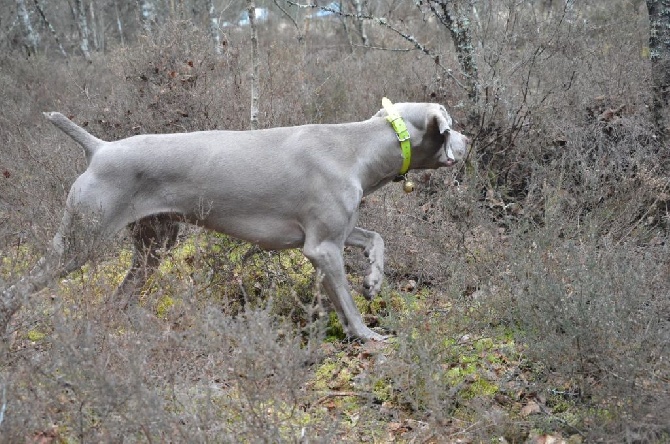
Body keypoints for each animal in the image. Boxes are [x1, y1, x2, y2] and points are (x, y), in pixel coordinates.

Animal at [3, 100, 468, 342]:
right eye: (452, 127)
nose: (468, 143)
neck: (357, 147)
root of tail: (98, 148)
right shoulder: (322, 248)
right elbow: (348, 305)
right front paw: (369, 337)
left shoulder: (335, 234)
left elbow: (376, 238)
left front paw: (374, 279)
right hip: (81, 239)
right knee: (19, 288)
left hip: (155, 244)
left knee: (118, 297)